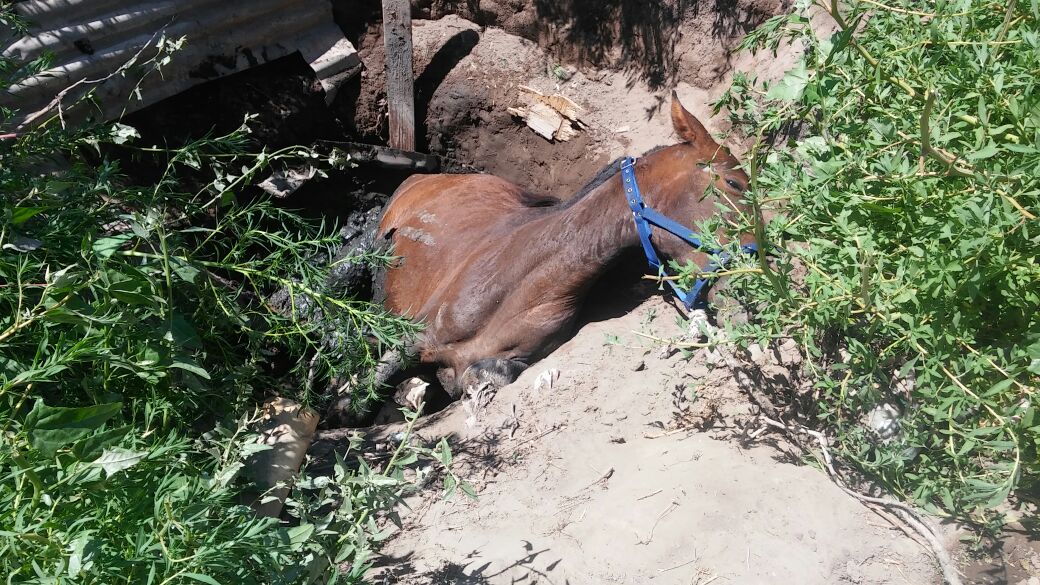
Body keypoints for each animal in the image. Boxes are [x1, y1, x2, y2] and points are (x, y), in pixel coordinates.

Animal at [328, 91, 752, 420]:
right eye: (734, 183)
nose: (749, 279)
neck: (521, 280)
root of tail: (425, 176)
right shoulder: (412, 338)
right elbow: (355, 402)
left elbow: (482, 375)